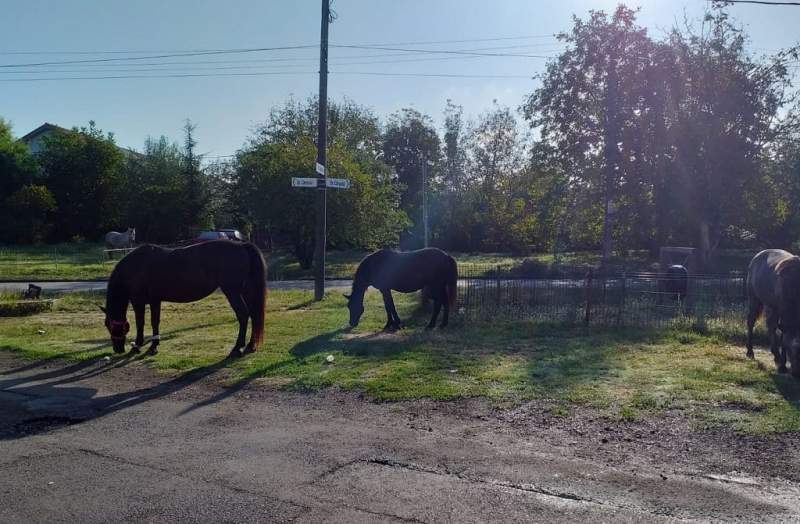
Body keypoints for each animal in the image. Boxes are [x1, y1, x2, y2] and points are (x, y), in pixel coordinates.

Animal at [101, 239, 266, 358]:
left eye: (108, 325)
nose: (118, 349)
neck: (135, 267)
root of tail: (242, 245)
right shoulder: (155, 300)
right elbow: (155, 322)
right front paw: (154, 346)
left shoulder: (138, 301)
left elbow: (140, 323)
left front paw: (138, 346)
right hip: (245, 291)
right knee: (253, 314)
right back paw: (250, 345)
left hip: (232, 292)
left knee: (243, 315)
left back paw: (237, 348)